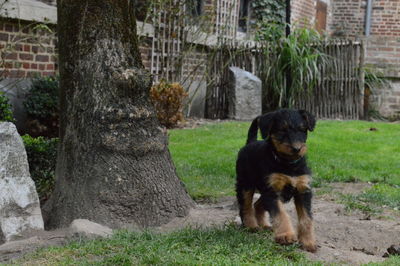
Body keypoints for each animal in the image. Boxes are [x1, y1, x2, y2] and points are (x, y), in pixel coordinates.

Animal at [236, 109, 318, 252]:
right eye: (281, 130)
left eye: (302, 129)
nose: (297, 149)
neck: (288, 164)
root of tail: (250, 143)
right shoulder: (272, 191)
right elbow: (281, 214)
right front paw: (286, 235)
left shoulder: (303, 190)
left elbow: (306, 218)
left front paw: (308, 241)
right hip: (245, 184)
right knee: (245, 206)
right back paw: (251, 226)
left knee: (257, 204)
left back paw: (264, 225)